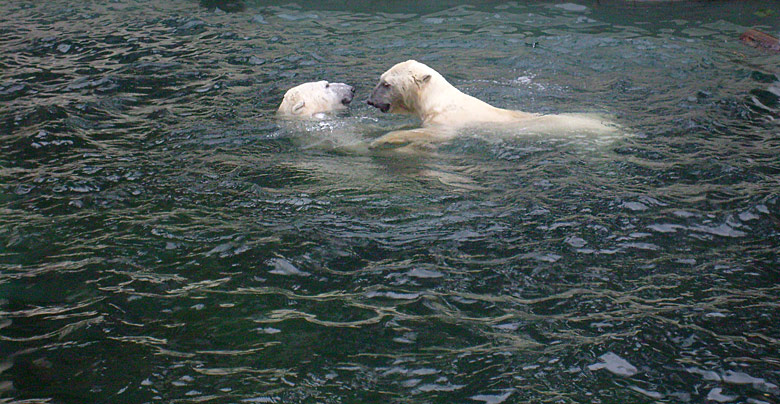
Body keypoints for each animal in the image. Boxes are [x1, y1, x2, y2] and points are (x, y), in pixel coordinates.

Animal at [368, 60, 620, 148]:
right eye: (380, 79)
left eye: (386, 84)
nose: (370, 100)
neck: (438, 101)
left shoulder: (448, 122)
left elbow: (429, 134)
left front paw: (379, 141)